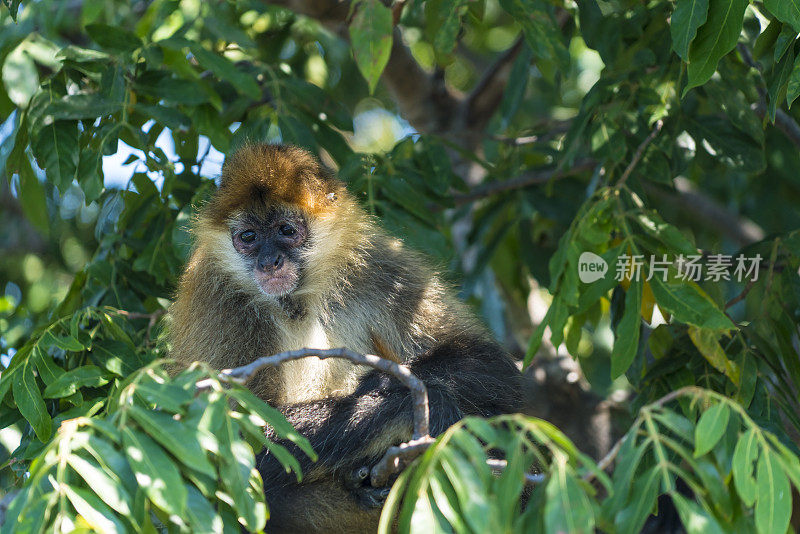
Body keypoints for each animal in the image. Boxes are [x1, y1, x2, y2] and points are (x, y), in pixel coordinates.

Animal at [170, 143, 520, 534]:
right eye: (248, 238)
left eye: (286, 230)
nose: (269, 261)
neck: (295, 301)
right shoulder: (217, 292)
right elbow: (221, 435)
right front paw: (402, 401)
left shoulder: (374, 258)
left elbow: (489, 361)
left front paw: (388, 387)